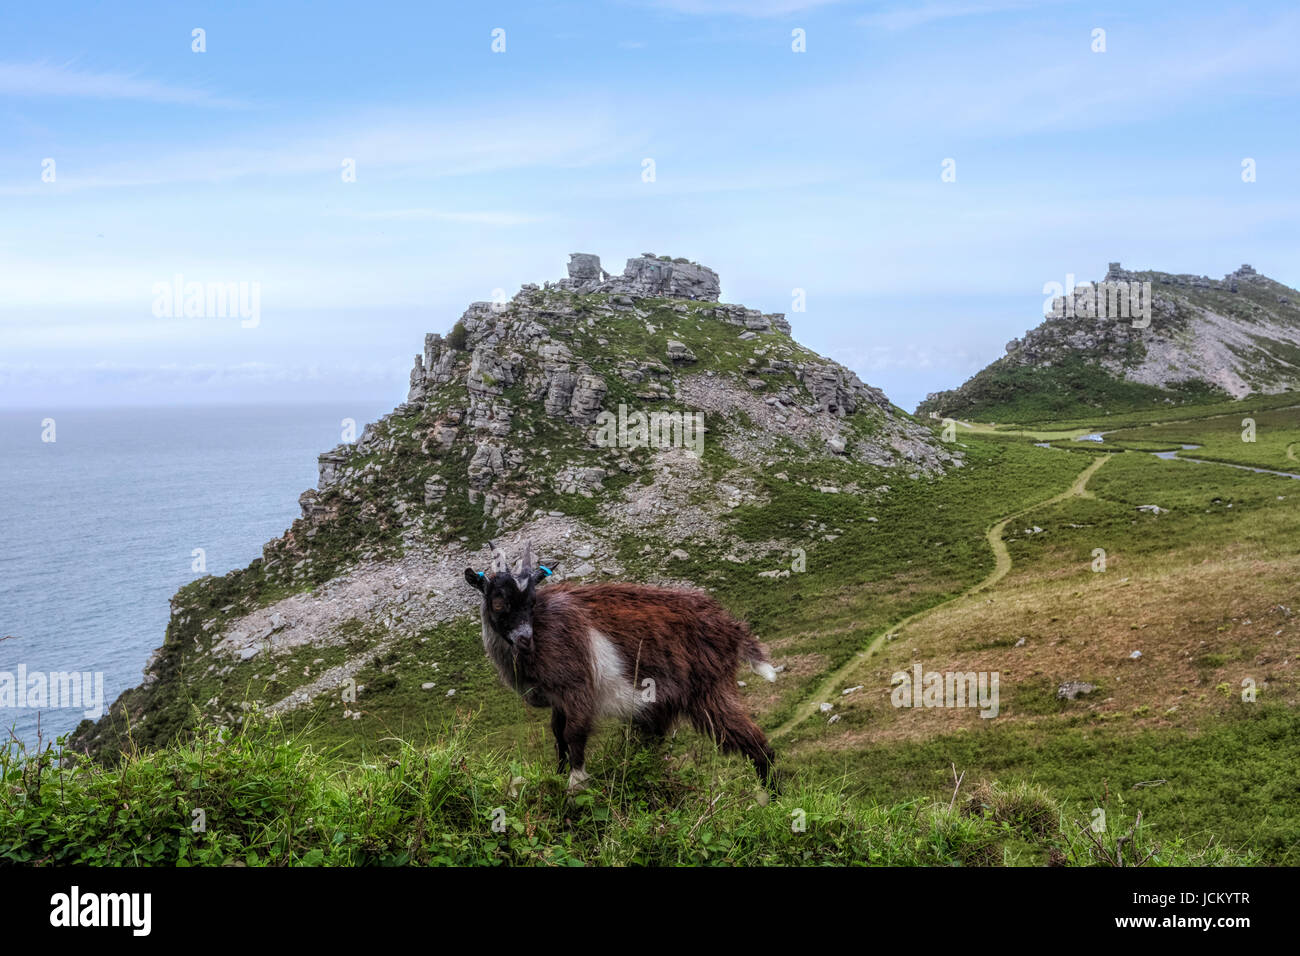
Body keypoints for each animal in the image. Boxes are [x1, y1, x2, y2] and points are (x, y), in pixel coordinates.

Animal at [465, 541, 774, 790]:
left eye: (531, 602)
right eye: (498, 603)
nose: (525, 639)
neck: (543, 628)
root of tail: (730, 626)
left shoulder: (577, 688)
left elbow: (573, 734)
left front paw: (577, 784)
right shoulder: (558, 700)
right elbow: (558, 737)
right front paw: (558, 775)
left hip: (711, 689)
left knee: (753, 740)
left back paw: (772, 799)